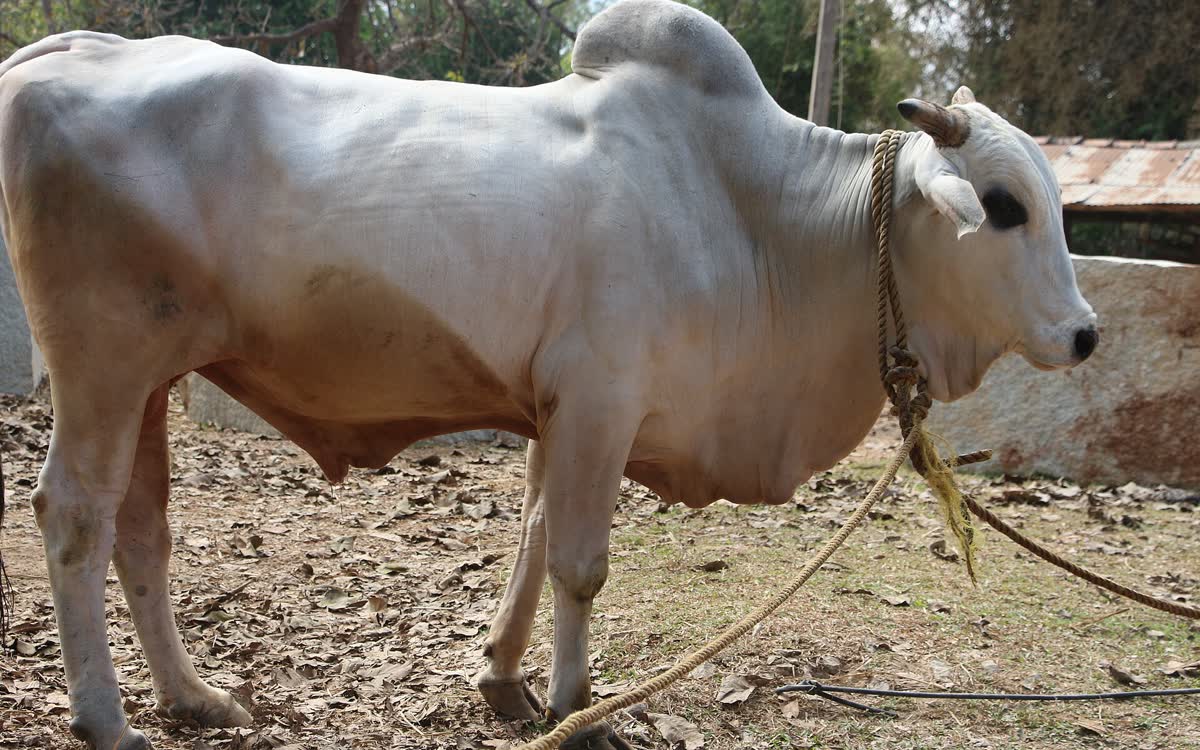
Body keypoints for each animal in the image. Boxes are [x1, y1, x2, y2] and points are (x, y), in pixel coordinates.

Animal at [0, 0, 1097, 748]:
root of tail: (66, 51)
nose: (1084, 335)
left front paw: (501, 677)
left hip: (150, 380)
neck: (758, 214)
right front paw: (578, 705)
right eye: (1004, 206)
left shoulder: (556, 411)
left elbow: (530, 538)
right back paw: (106, 717)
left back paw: (191, 697)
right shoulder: (603, 401)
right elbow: (579, 563)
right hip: (104, 368)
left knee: (142, 532)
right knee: (75, 516)